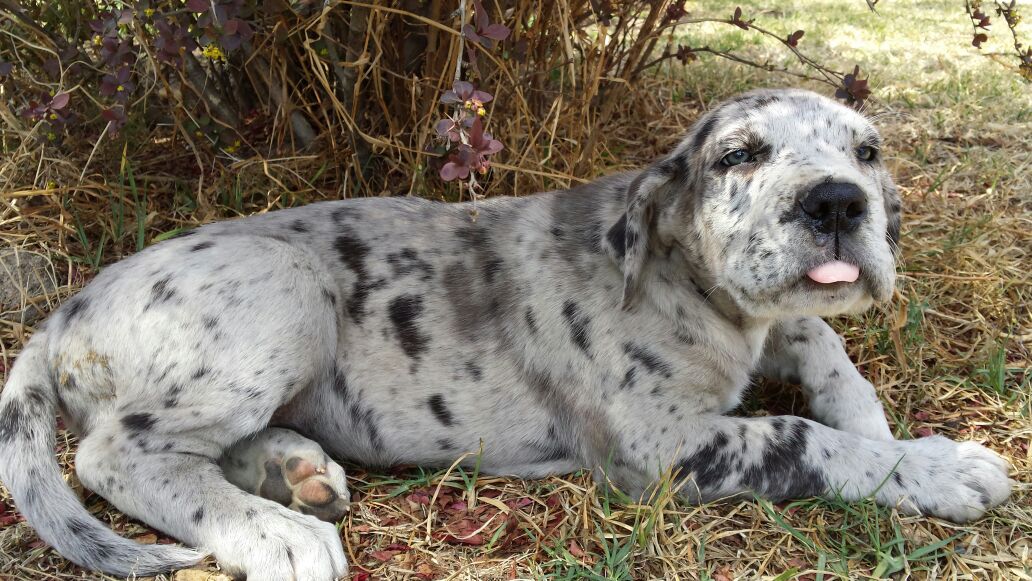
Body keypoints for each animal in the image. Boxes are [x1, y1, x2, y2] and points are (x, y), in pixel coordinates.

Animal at [0, 88, 1011, 577]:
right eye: (739, 155)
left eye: (867, 152)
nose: (838, 202)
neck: (702, 295)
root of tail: (63, 315)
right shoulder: (663, 447)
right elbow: (800, 434)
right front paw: (936, 465)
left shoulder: (774, 320)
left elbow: (821, 344)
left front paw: (879, 422)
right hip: (285, 289)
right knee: (117, 453)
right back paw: (275, 532)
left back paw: (296, 471)